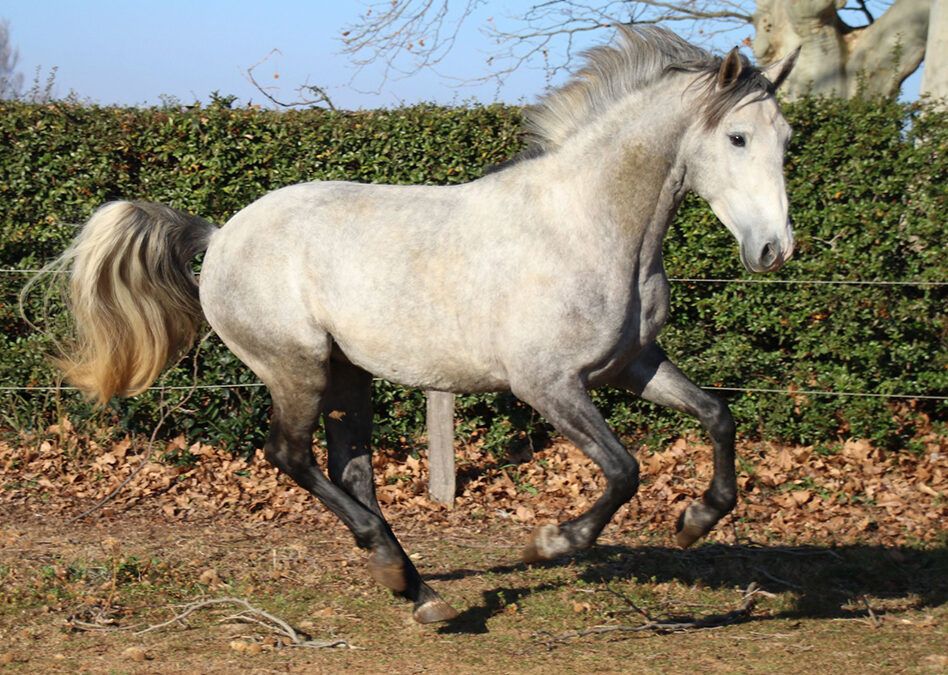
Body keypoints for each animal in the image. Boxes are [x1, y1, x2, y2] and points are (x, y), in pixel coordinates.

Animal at [40, 29, 796, 624]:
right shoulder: (548, 384)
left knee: (350, 470)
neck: (585, 224)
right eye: (736, 137)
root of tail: (221, 233)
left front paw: (695, 521)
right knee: (290, 455)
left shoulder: (632, 365)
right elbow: (624, 469)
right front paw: (549, 543)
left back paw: (413, 585)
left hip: (348, 373)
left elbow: (717, 415)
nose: (774, 250)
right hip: (296, 367)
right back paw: (404, 576)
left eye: (786, 139)